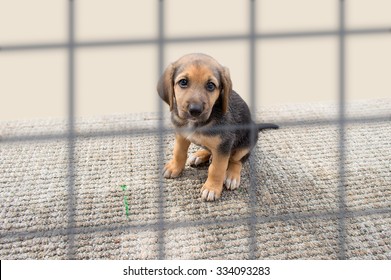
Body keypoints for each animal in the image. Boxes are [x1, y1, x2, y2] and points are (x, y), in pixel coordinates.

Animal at [157, 53, 278, 201]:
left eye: (210, 85)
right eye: (183, 82)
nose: (195, 110)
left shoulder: (224, 145)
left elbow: (217, 169)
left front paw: (212, 188)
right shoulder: (181, 135)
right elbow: (179, 152)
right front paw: (174, 167)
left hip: (246, 143)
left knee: (237, 160)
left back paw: (232, 176)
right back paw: (199, 155)